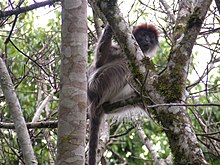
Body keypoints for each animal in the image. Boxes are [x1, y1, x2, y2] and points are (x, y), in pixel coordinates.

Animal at [87, 22, 158, 164]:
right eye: (144, 35)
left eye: (151, 37)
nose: (147, 40)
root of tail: (92, 100)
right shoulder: (119, 50)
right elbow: (100, 61)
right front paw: (109, 27)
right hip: (100, 84)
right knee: (125, 66)